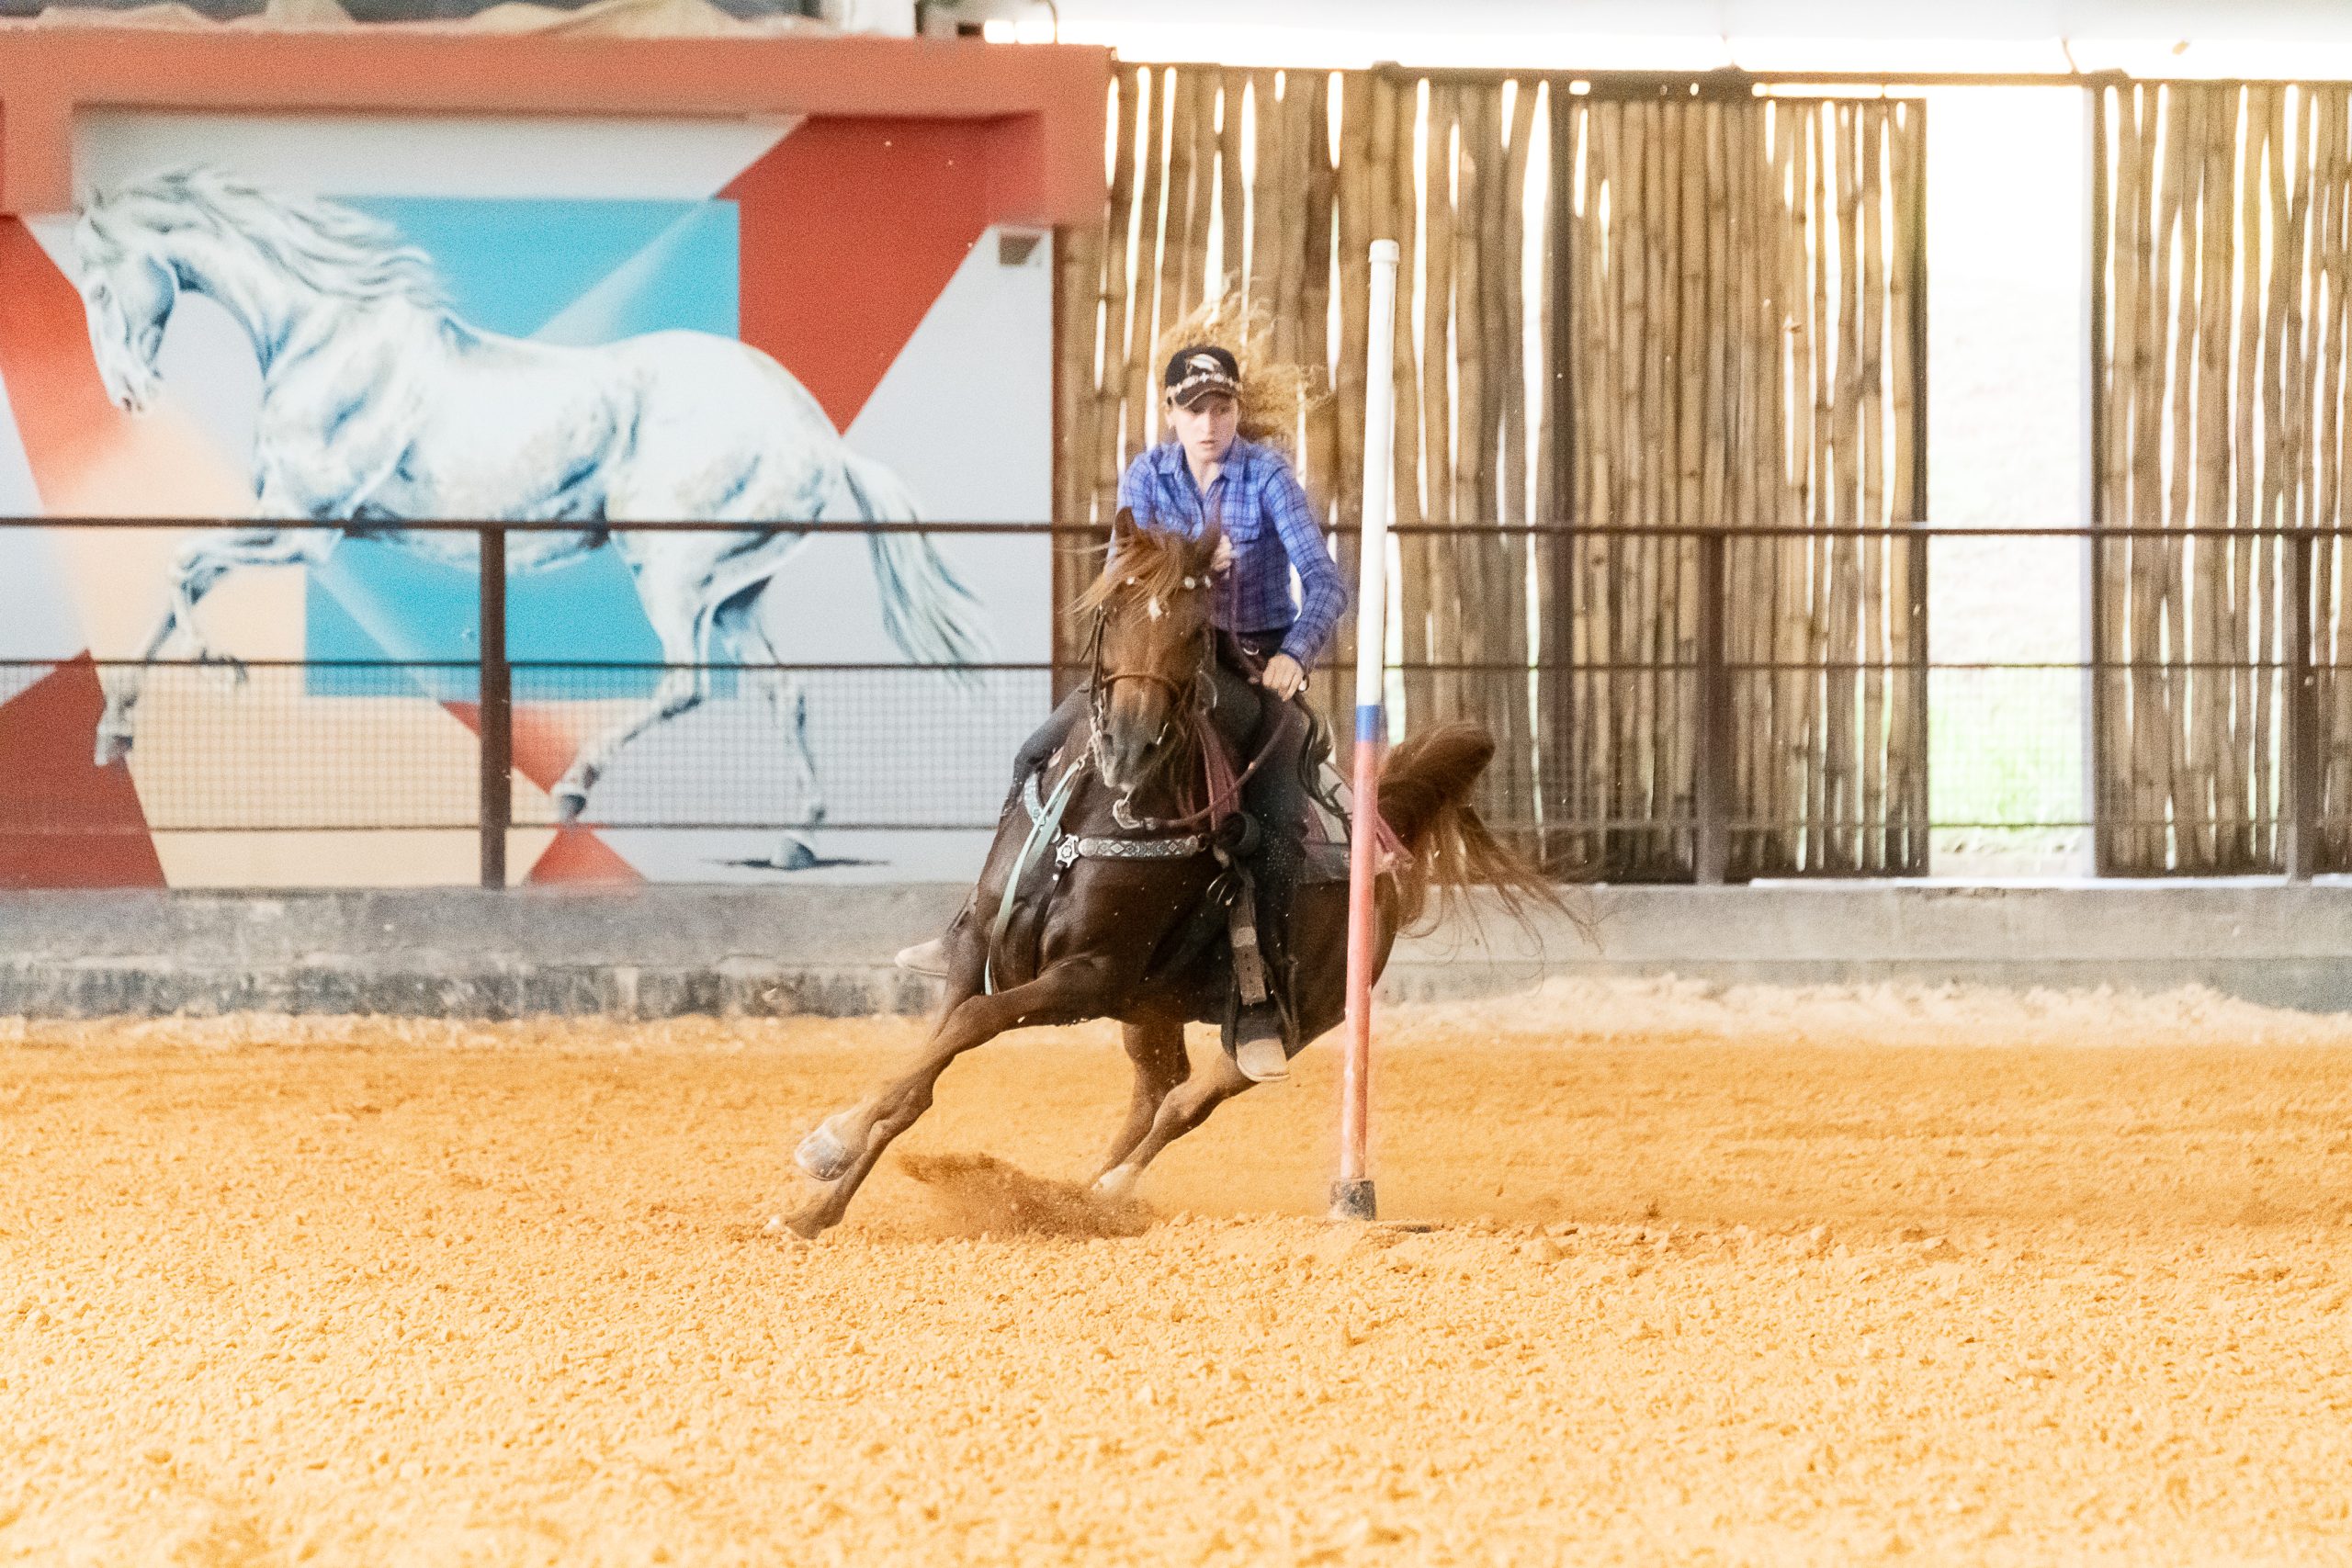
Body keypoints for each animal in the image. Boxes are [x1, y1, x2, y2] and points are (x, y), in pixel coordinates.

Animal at [68, 169, 978, 869]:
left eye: (104, 284)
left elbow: (181, 567)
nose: (129, 395)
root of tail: (818, 433)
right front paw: (115, 733)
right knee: (784, 694)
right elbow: (177, 585)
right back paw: (796, 838)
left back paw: (576, 786)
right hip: (735, 595)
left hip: (673, 571)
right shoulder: (282, 522)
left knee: (685, 683)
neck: (324, 337)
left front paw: (219, 667)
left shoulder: (302, 527)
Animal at [790, 514, 1561, 1241]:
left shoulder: (1086, 977)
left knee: (1188, 1101)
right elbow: (926, 1066)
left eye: (1195, 632)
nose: (1130, 743)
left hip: (1298, 1017)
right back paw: (1073, 1199)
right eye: (1115, 606)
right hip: (1152, 1005)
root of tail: (1385, 826)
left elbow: (975, 1023)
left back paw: (1108, 1192)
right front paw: (818, 1203)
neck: (1099, 817)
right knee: (1157, 1090)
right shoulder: (980, 946)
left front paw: (827, 1143)